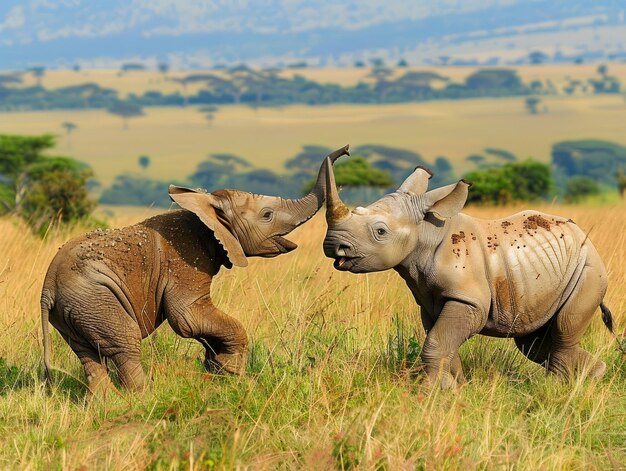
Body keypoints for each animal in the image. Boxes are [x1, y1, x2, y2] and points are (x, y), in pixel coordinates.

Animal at [320, 160, 612, 390]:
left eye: (380, 232)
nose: (333, 245)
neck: (425, 232)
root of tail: (586, 239)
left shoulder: (467, 299)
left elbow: (436, 341)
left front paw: (429, 391)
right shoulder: (431, 301)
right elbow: (443, 342)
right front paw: (455, 387)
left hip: (588, 267)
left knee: (562, 329)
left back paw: (560, 387)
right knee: (532, 340)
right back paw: (595, 375)